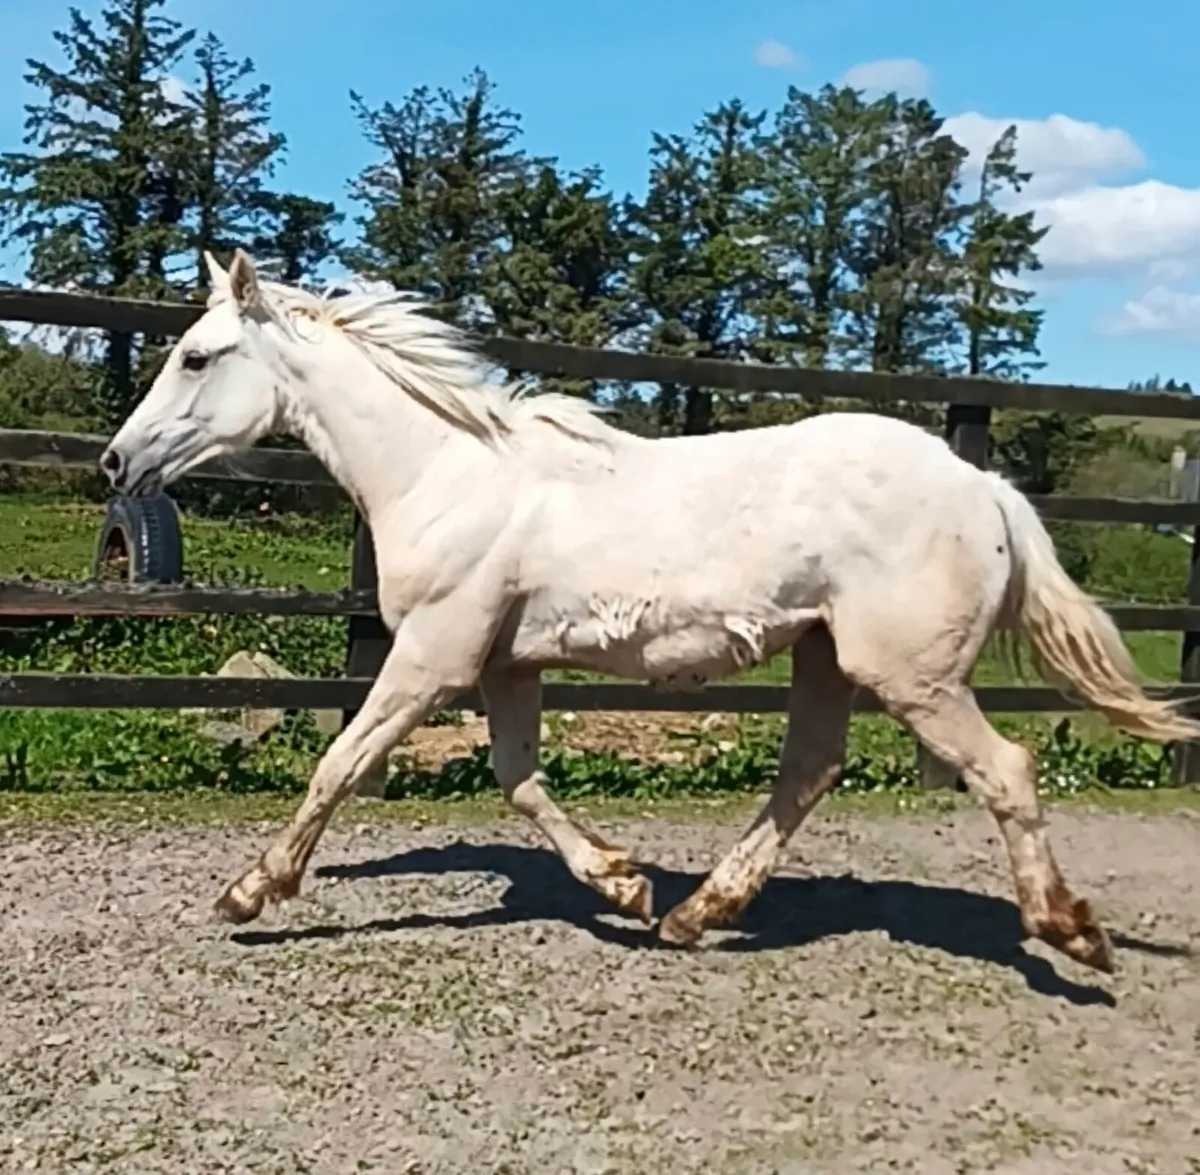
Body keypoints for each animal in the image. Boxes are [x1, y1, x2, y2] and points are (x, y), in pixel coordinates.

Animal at [99, 248, 1200, 975]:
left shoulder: (432, 655)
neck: (449, 472)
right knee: (809, 771)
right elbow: (519, 780)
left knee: (1005, 768)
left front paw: (251, 890)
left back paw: (1071, 931)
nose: (116, 462)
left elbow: (340, 762)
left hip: (912, 673)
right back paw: (694, 913)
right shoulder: (505, 662)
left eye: (197, 356)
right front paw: (626, 885)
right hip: (826, 656)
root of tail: (988, 489)